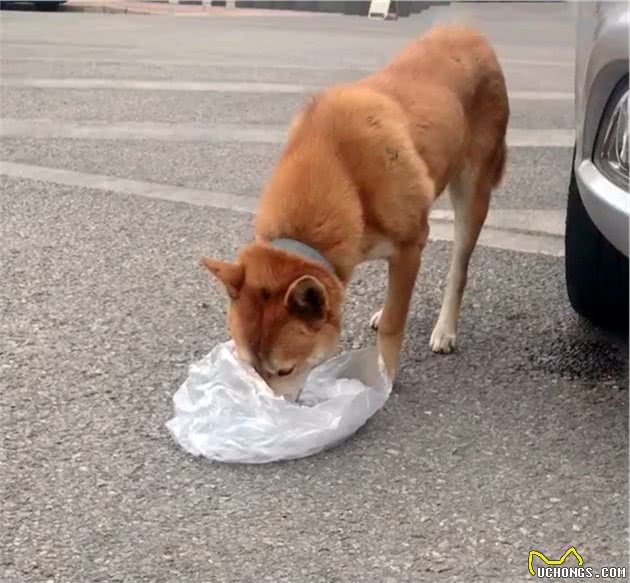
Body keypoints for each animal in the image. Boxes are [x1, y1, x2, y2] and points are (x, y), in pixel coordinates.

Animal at [202, 25, 508, 400]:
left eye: (285, 370)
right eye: (250, 368)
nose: (269, 412)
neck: (339, 166)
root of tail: (469, 31)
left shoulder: (409, 245)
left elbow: (394, 324)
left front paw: (385, 376)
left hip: (472, 193)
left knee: (458, 269)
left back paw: (445, 328)